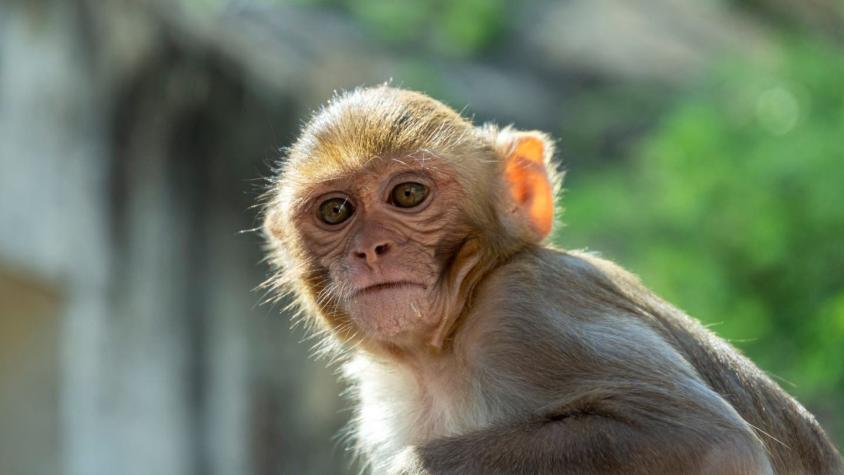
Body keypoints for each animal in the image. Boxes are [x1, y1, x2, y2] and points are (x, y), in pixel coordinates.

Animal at [261, 86, 843, 474]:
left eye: (408, 194)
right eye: (336, 211)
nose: (370, 249)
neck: (442, 349)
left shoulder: (528, 312)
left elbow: (710, 440)